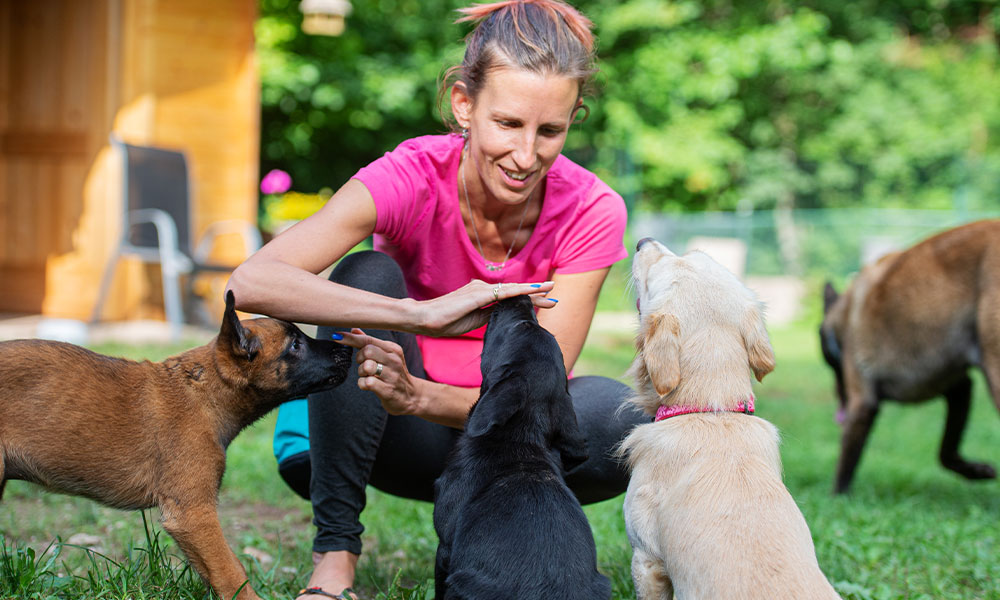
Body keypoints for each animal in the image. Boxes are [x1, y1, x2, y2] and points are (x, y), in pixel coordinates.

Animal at [0, 292, 354, 600]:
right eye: (295, 344)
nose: (349, 351)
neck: (203, 391)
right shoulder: (193, 513)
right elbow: (231, 572)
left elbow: (216, 571)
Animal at [820, 218, 1000, 494]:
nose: (839, 403)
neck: (844, 313)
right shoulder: (959, 388)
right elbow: (945, 452)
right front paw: (976, 471)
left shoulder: (862, 404)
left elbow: (845, 463)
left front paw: (836, 498)